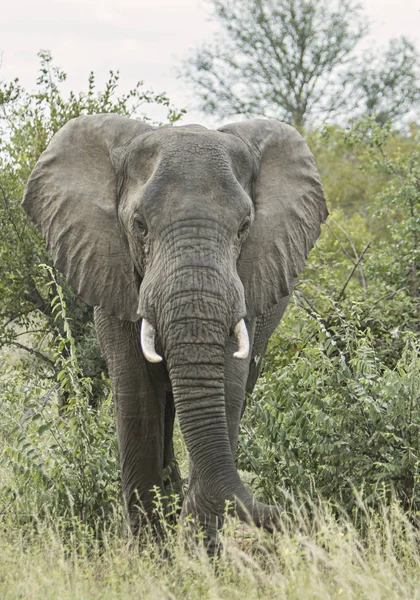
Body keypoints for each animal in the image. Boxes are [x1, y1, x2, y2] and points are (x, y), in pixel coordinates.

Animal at [23, 115, 328, 548]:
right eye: (139, 226)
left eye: (244, 227)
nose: (295, 511)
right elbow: (137, 399)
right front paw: (156, 554)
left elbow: (227, 393)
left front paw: (196, 553)